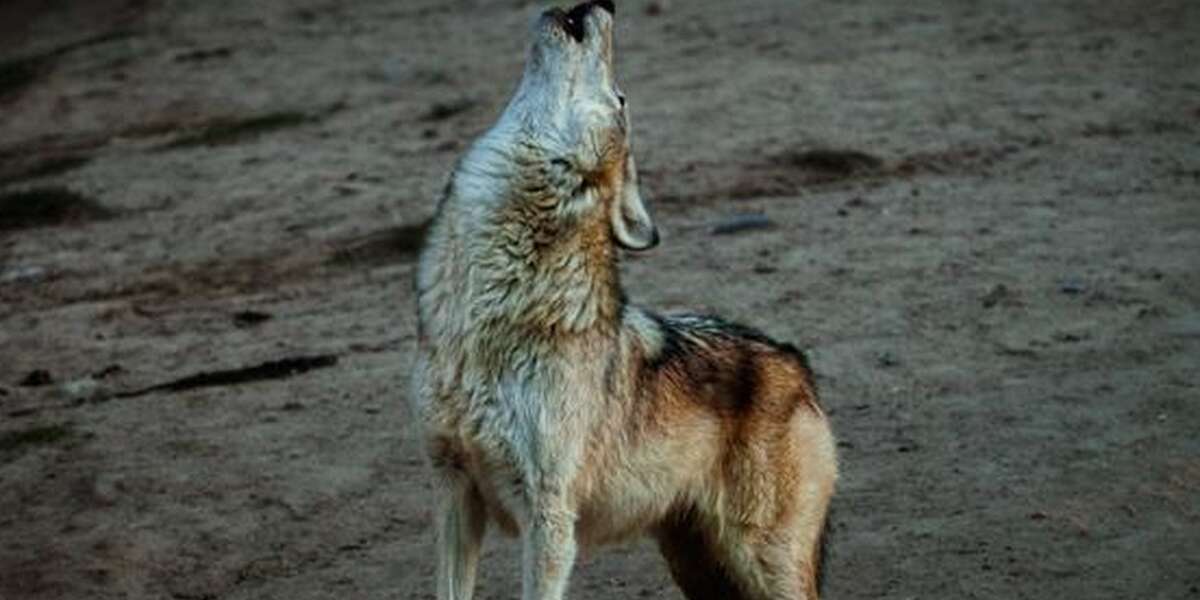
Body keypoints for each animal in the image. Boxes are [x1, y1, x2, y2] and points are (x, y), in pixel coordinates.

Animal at [410, 2, 838, 599]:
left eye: (621, 98)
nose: (603, 6)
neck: (483, 322)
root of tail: (795, 362)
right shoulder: (451, 486)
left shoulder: (548, 518)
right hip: (697, 566)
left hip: (763, 562)